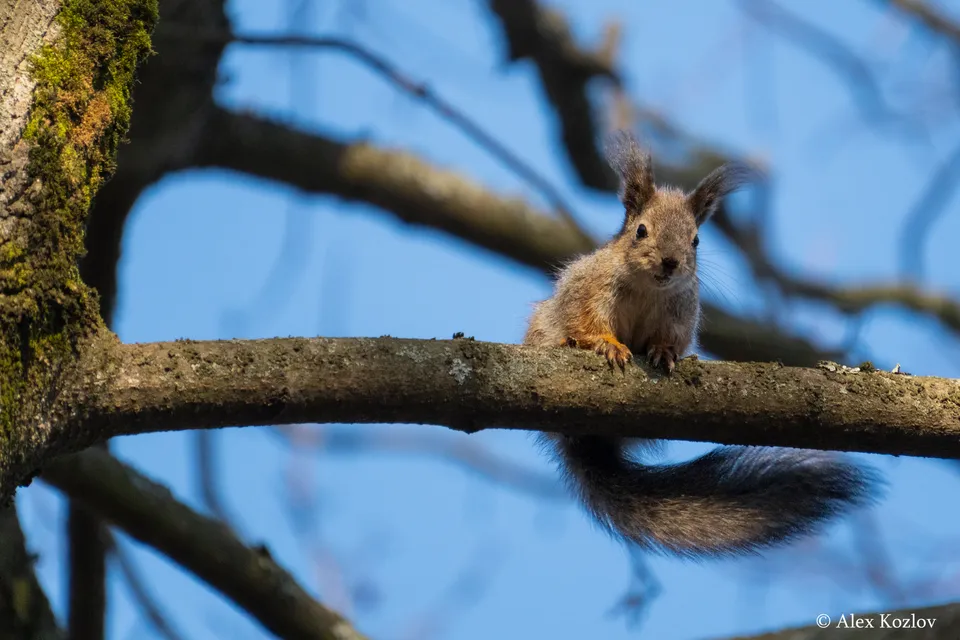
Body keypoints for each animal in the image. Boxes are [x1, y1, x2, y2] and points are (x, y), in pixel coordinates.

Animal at [523, 130, 880, 558]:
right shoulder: (588, 288)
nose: (670, 261)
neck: (648, 288)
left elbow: (672, 339)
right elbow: (584, 318)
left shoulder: (681, 313)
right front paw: (604, 344)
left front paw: (663, 352)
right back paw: (567, 344)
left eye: (695, 240)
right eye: (640, 230)